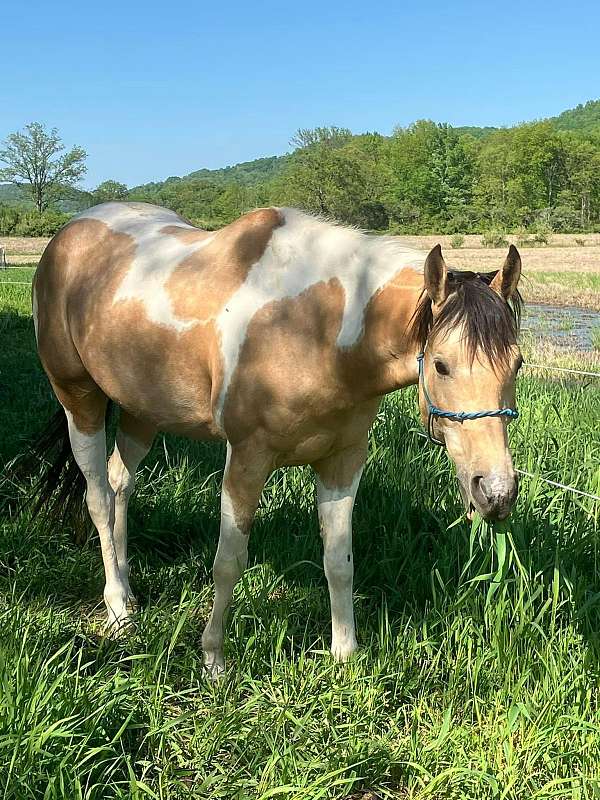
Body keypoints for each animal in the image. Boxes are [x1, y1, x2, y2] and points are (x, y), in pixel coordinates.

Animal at [31, 202, 520, 676]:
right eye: (440, 364)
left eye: (516, 364)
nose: (496, 492)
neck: (315, 326)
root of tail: (68, 233)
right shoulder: (247, 459)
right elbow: (229, 562)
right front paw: (213, 660)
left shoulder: (342, 460)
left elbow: (338, 561)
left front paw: (346, 656)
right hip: (79, 399)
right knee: (98, 497)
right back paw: (118, 610)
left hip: (140, 410)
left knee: (120, 485)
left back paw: (130, 592)